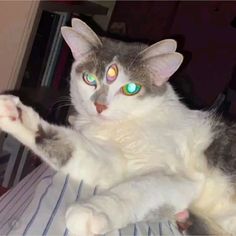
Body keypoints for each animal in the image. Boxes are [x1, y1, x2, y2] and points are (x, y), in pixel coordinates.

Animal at [0, 18, 236, 236]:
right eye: (89, 79)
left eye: (131, 88)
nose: (100, 105)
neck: (125, 126)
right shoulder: (114, 162)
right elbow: (71, 148)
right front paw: (15, 114)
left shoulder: (182, 176)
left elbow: (136, 188)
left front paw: (91, 211)